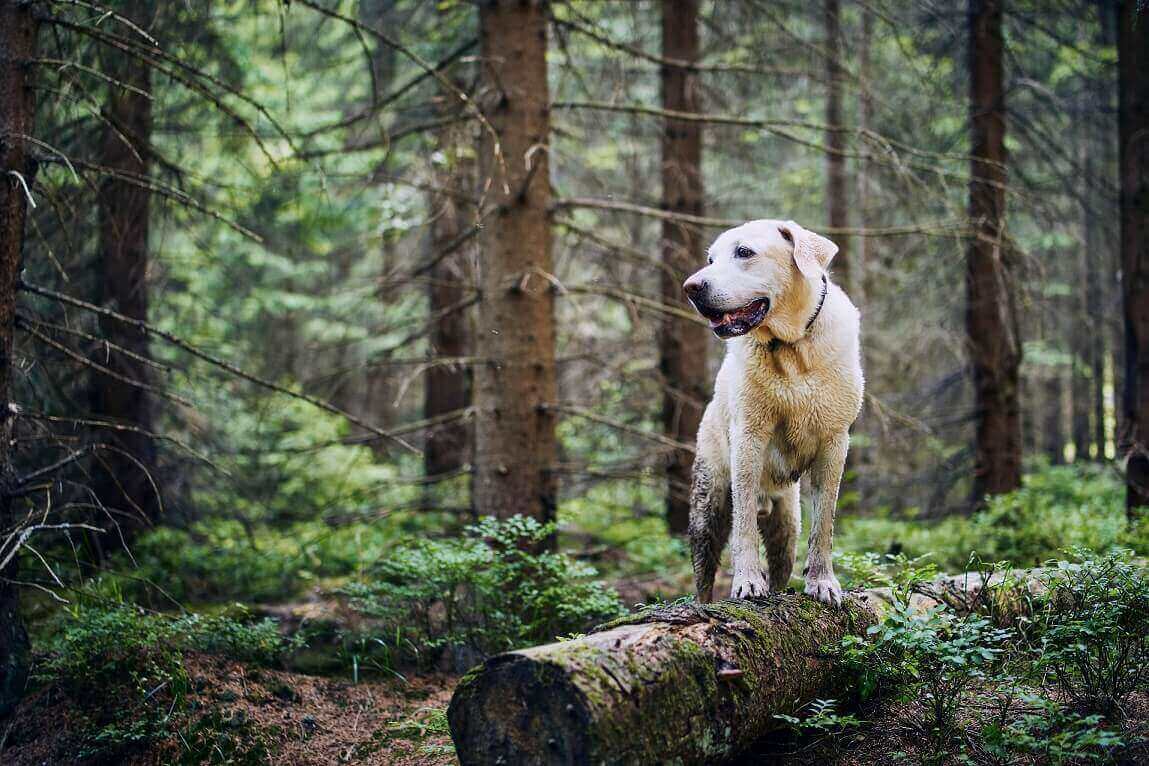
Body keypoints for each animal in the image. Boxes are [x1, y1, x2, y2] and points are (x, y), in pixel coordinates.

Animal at [680, 217, 864, 606]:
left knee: (783, 560)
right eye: (710, 258)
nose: (691, 287)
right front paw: (748, 581)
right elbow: (745, 522)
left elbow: (824, 522)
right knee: (704, 574)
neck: (792, 347)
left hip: (786, 523)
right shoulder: (749, 438)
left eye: (744, 252)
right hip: (708, 506)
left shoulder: (834, 443)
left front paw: (823, 582)